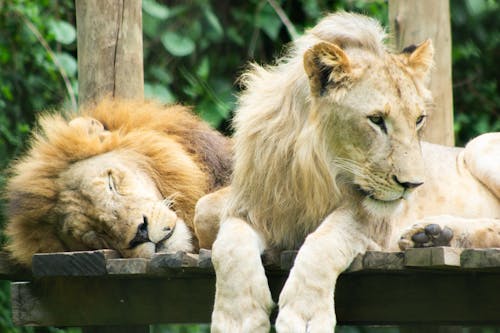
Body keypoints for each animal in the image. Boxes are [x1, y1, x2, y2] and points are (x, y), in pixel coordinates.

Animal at [200, 11, 500, 330]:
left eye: (418, 119)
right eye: (376, 120)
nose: (414, 185)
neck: (311, 172)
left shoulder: (371, 219)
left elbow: (325, 241)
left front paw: (304, 316)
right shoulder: (249, 205)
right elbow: (225, 243)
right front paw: (238, 318)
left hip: (479, 146)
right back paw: (433, 235)